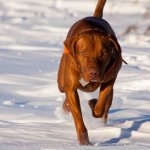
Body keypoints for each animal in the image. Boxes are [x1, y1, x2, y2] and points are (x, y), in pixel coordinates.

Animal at [57, 0, 126, 145]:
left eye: (103, 52)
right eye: (83, 52)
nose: (93, 73)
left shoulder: (109, 81)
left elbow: (100, 107)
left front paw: (93, 104)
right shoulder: (70, 87)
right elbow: (78, 116)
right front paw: (84, 142)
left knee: (106, 107)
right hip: (61, 83)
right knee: (64, 91)